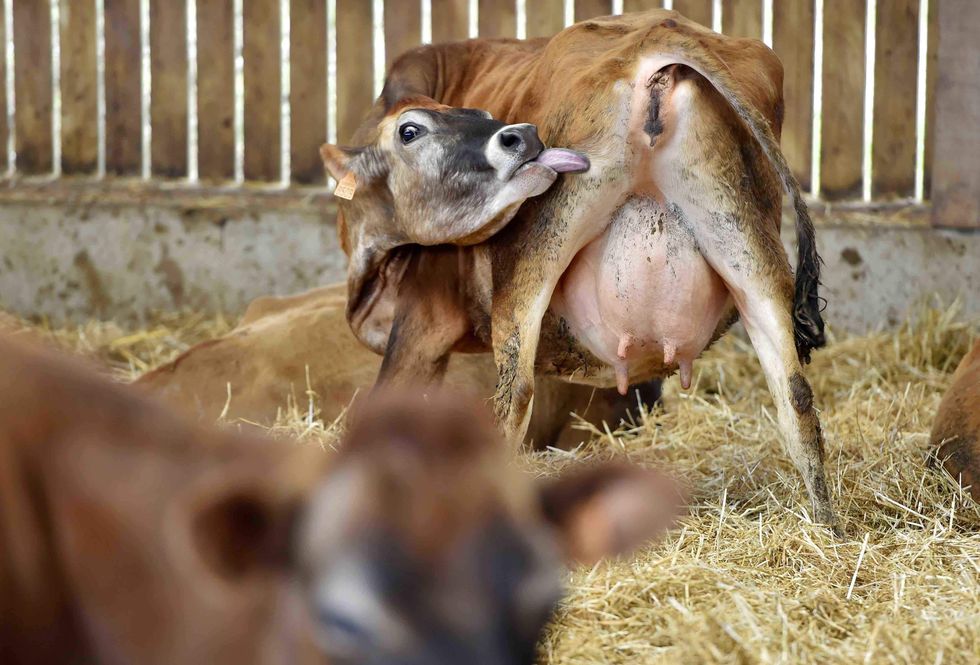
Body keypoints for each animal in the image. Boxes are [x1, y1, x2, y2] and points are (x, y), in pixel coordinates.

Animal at [318, 9, 838, 529]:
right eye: (410, 131)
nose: (524, 135)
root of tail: (661, 31)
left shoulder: (423, 319)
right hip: (748, 241)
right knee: (796, 397)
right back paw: (828, 530)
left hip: (531, 262)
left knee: (514, 398)